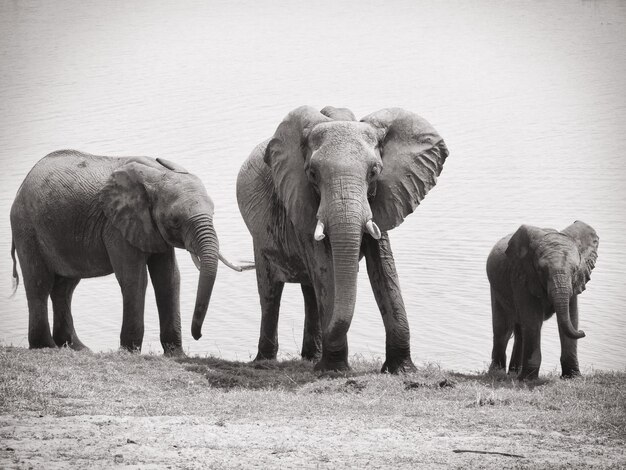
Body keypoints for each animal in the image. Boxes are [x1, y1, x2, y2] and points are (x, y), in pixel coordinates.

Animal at [11, 149, 243, 354]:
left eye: (213, 213)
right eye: (175, 221)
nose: (198, 335)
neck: (157, 175)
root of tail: (22, 185)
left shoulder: (152, 230)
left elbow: (168, 279)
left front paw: (176, 355)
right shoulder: (116, 225)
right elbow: (135, 278)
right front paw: (130, 352)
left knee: (65, 288)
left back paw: (78, 348)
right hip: (27, 228)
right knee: (39, 284)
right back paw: (45, 346)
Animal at [236, 105, 446, 370]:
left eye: (374, 171)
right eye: (312, 174)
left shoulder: (384, 198)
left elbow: (384, 270)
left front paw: (402, 370)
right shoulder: (301, 204)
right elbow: (326, 272)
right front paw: (334, 370)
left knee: (310, 292)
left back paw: (310, 357)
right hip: (260, 239)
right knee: (271, 293)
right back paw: (265, 361)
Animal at [486, 222, 596, 380]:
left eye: (575, 270)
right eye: (541, 270)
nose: (582, 332)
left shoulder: (574, 284)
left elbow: (572, 318)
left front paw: (573, 377)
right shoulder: (522, 276)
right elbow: (533, 320)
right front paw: (528, 379)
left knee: (520, 332)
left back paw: (514, 373)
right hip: (496, 289)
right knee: (503, 329)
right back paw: (497, 373)